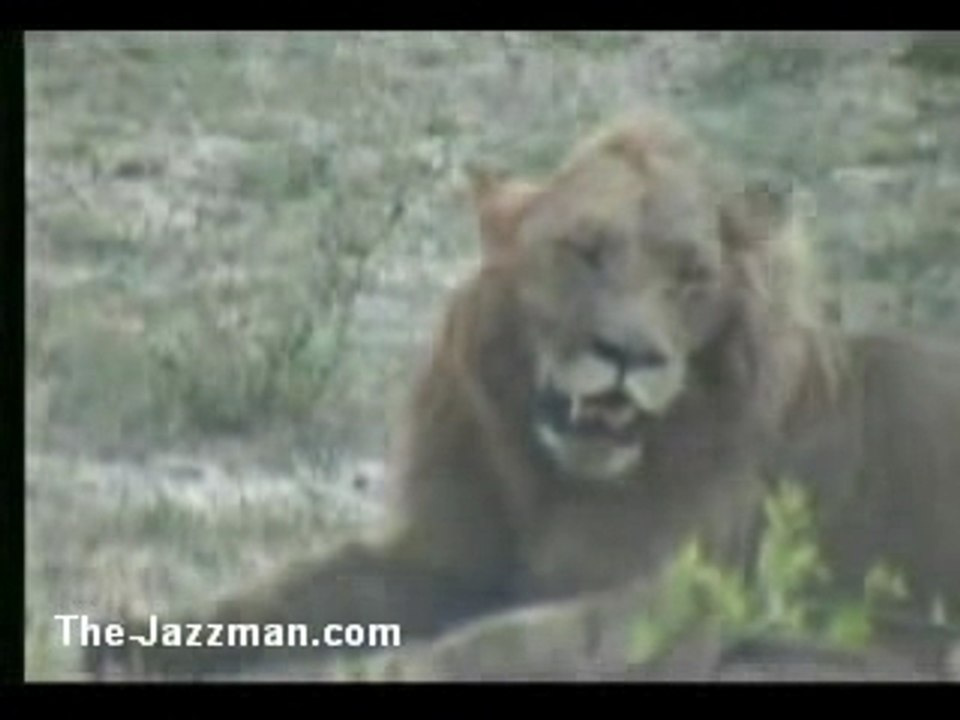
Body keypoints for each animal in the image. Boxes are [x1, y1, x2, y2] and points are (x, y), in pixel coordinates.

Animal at [84, 109, 960, 680]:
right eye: (583, 250)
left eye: (690, 278)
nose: (632, 354)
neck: (543, 477)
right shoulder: (439, 556)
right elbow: (290, 587)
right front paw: (136, 640)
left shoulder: (675, 604)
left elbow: (508, 640)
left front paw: (395, 670)